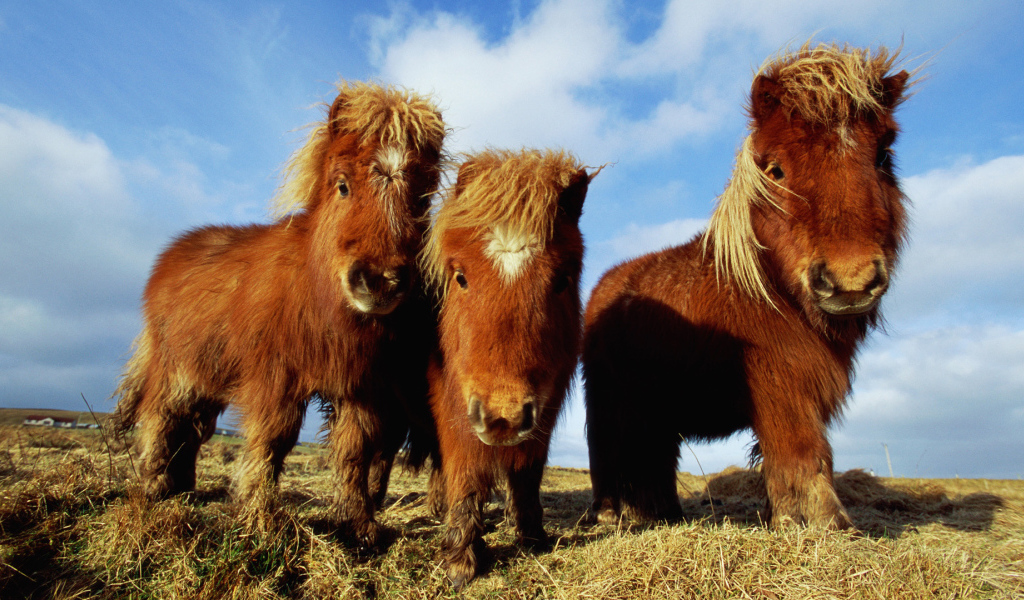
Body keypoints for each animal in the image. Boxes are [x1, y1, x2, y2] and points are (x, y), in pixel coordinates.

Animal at [112, 81, 446, 545]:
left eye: (421, 200)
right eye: (342, 185)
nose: (379, 281)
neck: (319, 298)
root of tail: (170, 256)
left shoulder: (362, 388)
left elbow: (355, 452)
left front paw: (359, 526)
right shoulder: (275, 380)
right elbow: (272, 442)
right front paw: (258, 518)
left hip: (209, 379)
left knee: (193, 429)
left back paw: (183, 488)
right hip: (176, 370)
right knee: (160, 418)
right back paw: (153, 489)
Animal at [421, 149, 595, 588]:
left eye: (562, 280)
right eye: (460, 277)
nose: (504, 417)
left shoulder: (544, 410)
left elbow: (528, 473)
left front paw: (533, 536)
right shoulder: (455, 404)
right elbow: (466, 471)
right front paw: (461, 558)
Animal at [582, 43, 912, 530]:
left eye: (883, 157)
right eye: (775, 170)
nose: (850, 281)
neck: (768, 291)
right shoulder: (779, 383)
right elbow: (801, 450)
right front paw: (822, 524)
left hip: (654, 408)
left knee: (653, 458)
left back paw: (664, 515)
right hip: (612, 401)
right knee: (610, 453)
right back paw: (611, 515)